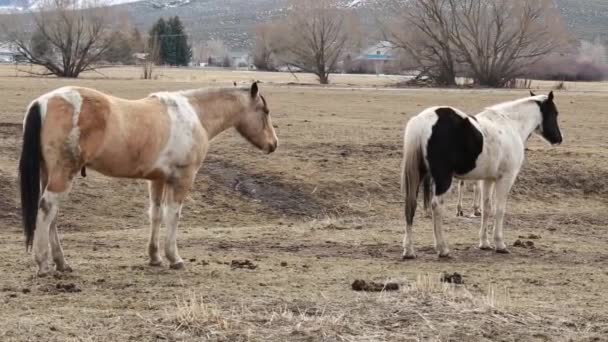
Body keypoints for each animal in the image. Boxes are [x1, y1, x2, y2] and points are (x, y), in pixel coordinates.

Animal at [16, 82, 278, 276]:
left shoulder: (157, 179)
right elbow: (173, 216)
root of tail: (43, 102)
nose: (273, 144)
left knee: (51, 215)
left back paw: (61, 263)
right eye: (265, 112)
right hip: (63, 175)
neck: (194, 115)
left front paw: (155, 257)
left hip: (50, 174)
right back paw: (43, 263)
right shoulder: (182, 178)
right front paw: (174, 258)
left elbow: (156, 214)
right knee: (47, 209)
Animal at [402, 92, 564, 258]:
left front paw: (484, 243)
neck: (510, 125)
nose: (558, 139)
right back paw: (442, 249)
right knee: (437, 206)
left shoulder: (488, 179)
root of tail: (422, 121)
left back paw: (409, 250)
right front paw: (500, 244)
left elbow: (486, 208)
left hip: (419, 175)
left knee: (411, 205)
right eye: (555, 113)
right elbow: (499, 209)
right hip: (443, 179)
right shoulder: (506, 178)